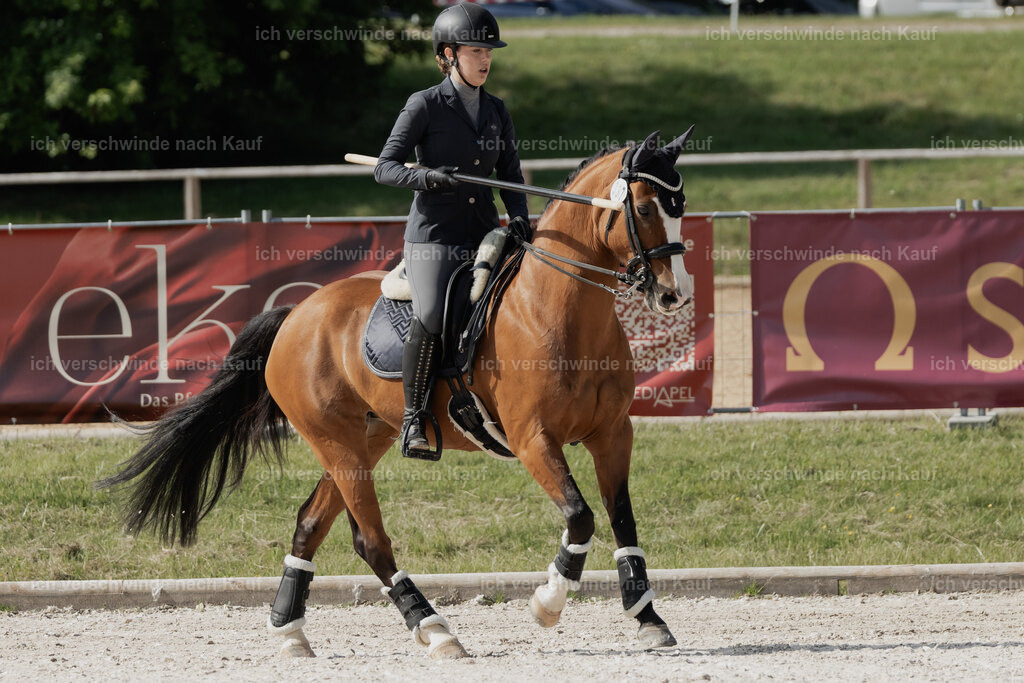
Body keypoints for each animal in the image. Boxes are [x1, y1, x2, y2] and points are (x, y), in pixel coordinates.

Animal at [99, 128, 696, 660]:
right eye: (645, 209)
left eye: (680, 205)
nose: (675, 295)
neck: (557, 309)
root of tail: (296, 314)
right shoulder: (533, 440)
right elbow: (581, 515)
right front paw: (548, 602)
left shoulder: (612, 433)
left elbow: (621, 519)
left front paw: (648, 617)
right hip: (335, 440)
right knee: (371, 540)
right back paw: (436, 631)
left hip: (366, 438)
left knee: (310, 523)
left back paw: (291, 633)